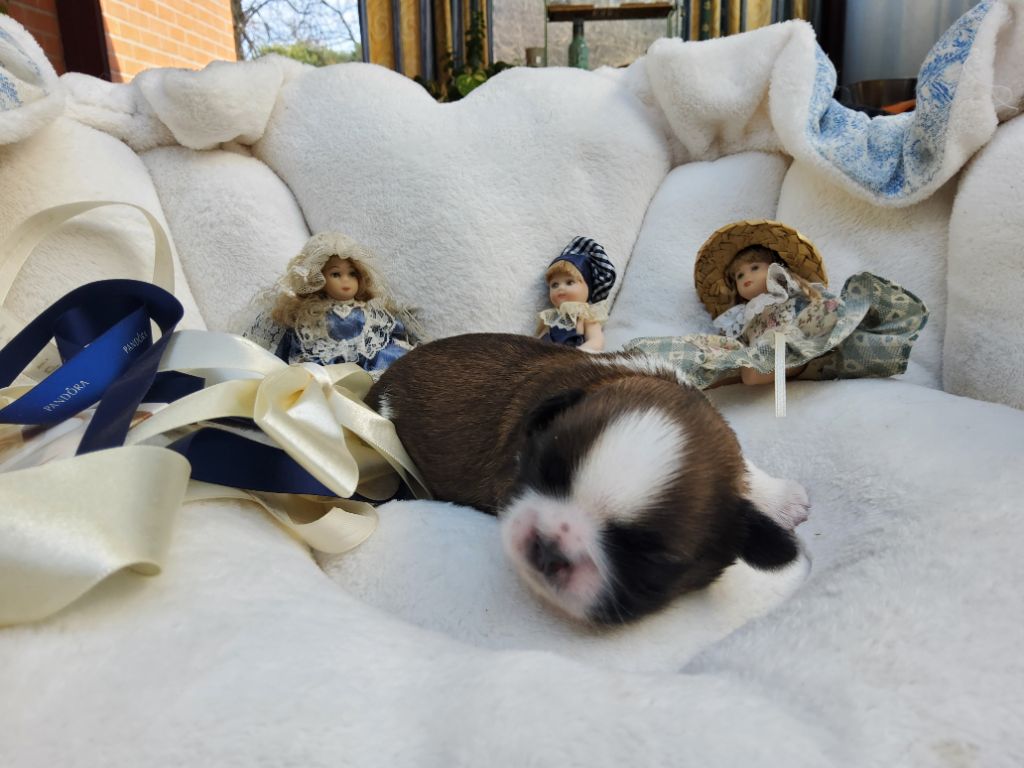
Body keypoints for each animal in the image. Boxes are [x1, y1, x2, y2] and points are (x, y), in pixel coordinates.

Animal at [368, 333, 809, 624]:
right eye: (540, 471)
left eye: (647, 560)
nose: (548, 546)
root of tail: (379, 386)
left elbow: (742, 467)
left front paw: (780, 498)